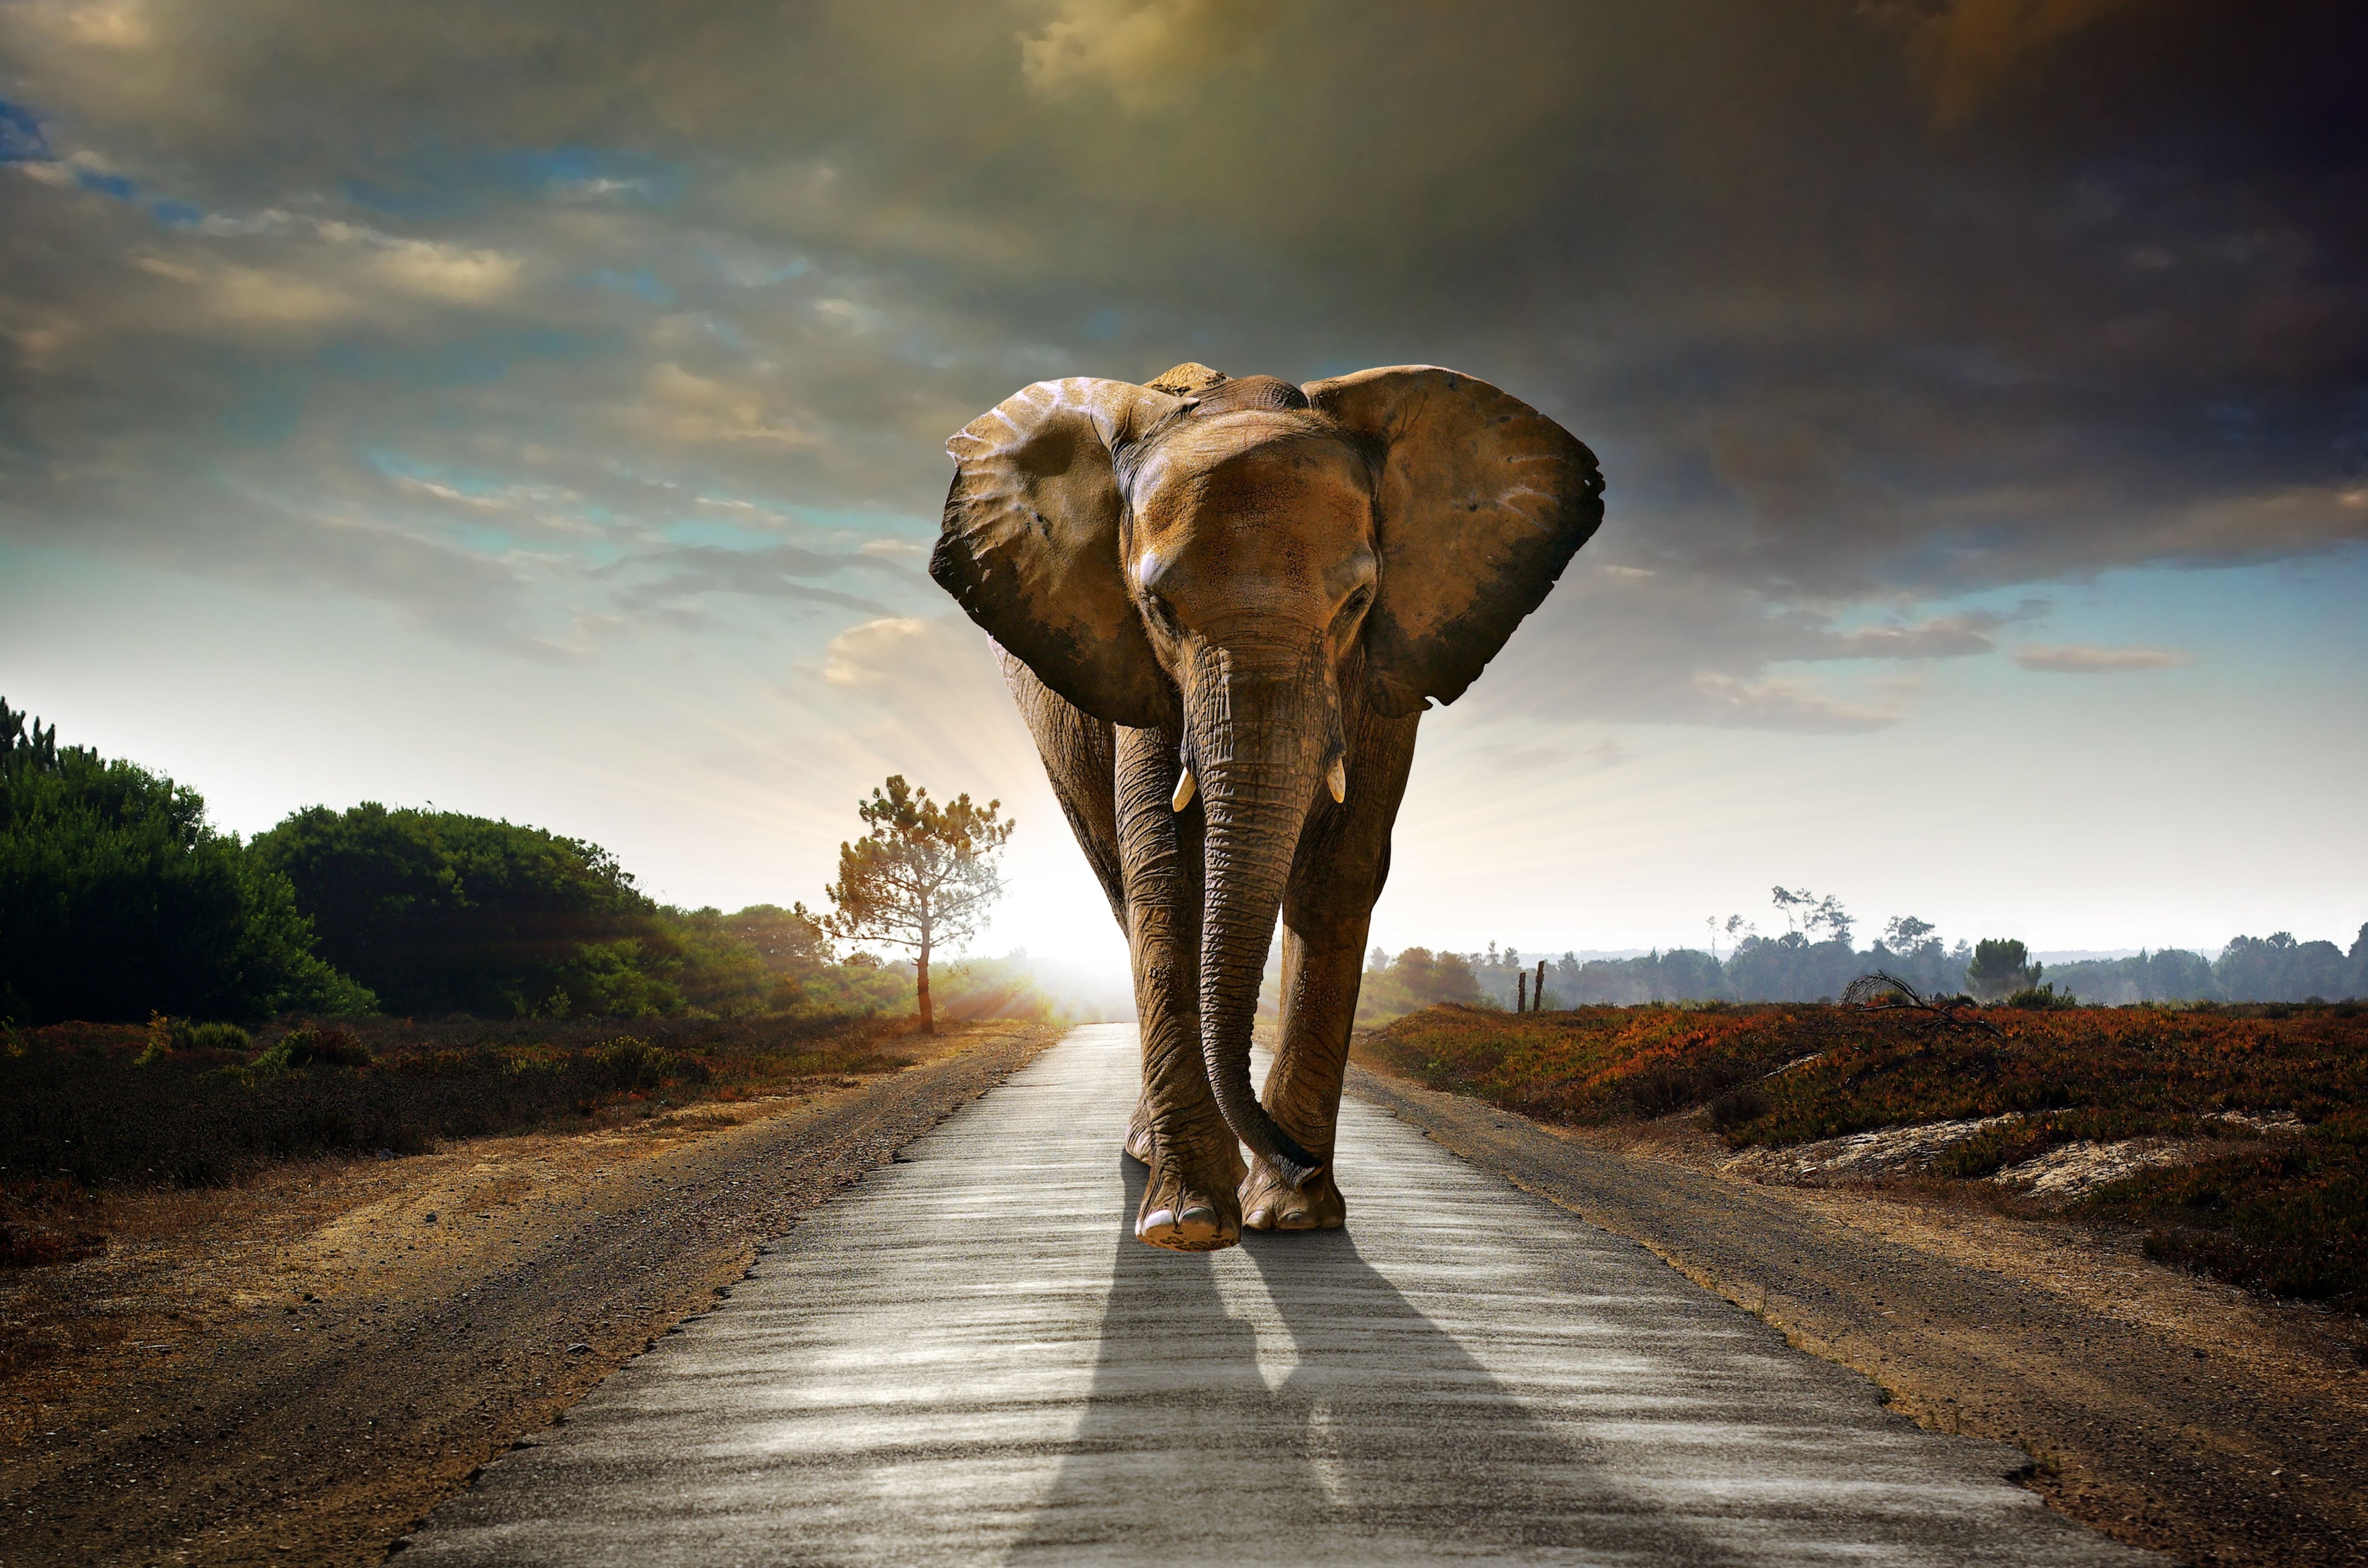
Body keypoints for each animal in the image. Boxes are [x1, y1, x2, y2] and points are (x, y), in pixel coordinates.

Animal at [930, 362, 1603, 1251]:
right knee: (1121, 886)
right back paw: (1153, 1158)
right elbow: (1169, 872)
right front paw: (1189, 1223)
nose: (1298, 1159)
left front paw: (1293, 1215)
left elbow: (1339, 871)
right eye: (1158, 608)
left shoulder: (1385, 671)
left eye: (1357, 601)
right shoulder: (1140, 673)